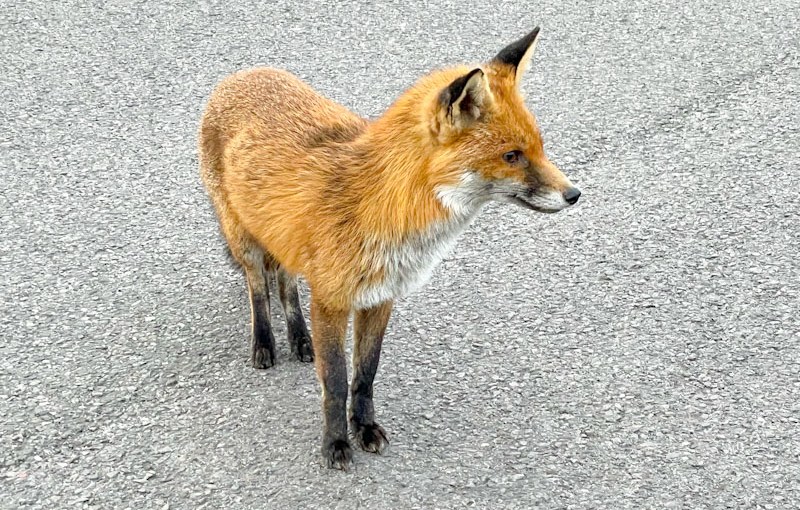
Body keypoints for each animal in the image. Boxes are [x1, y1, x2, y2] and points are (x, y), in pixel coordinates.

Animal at [198, 27, 580, 470]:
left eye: (539, 148)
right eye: (512, 156)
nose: (574, 194)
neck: (387, 205)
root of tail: (243, 74)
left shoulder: (380, 296)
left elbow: (366, 374)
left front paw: (364, 427)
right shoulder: (331, 299)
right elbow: (336, 381)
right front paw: (336, 443)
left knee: (286, 284)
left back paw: (300, 339)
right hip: (243, 239)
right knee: (258, 286)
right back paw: (264, 343)